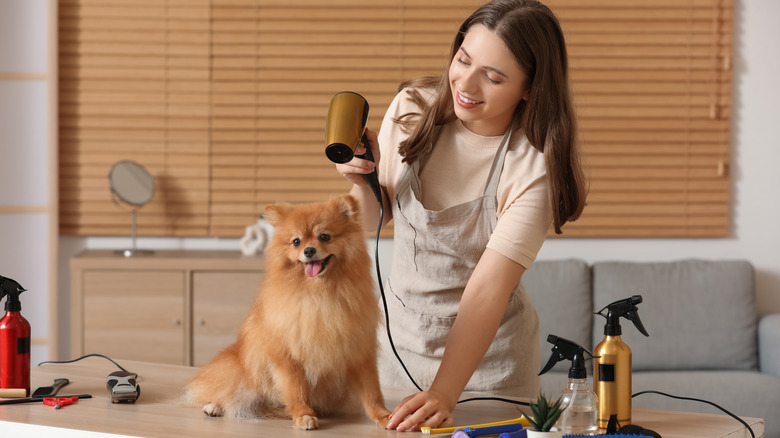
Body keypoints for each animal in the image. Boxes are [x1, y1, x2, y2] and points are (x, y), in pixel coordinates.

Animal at [184, 196, 390, 432]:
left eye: (324, 236)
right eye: (296, 242)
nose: (309, 250)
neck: (319, 295)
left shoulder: (359, 353)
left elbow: (372, 391)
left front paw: (383, 415)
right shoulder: (288, 356)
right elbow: (297, 389)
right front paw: (304, 415)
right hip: (242, 368)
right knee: (232, 391)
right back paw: (215, 406)